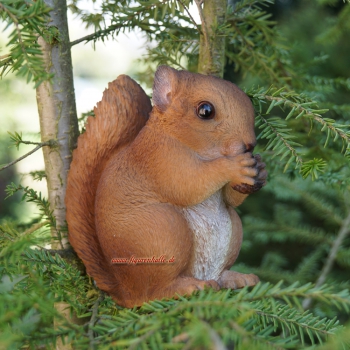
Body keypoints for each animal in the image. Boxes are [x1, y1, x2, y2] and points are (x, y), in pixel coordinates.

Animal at [65, 65, 266, 306]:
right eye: (205, 111)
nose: (250, 145)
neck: (174, 136)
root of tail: (125, 291)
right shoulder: (160, 159)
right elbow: (189, 183)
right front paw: (232, 166)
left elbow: (229, 198)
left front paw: (261, 169)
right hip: (164, 231)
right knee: (152, 292)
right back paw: (188, 286)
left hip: (232, 229)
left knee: (219, 274)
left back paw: (236, 278)